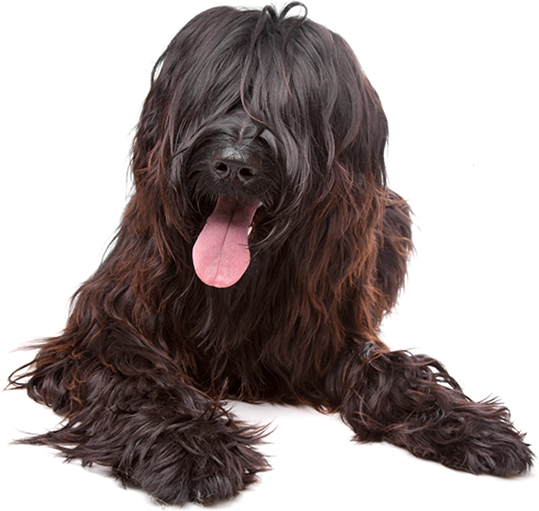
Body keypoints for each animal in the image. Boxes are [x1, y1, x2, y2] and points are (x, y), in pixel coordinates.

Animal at [10, 3, 532, 508]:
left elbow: (392, 371)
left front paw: (470, 425)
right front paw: (193, 449)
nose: (234, 163)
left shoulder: (329, 330)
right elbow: (140, 377)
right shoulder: (103, 328)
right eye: (217, 90)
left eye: (291, 108)